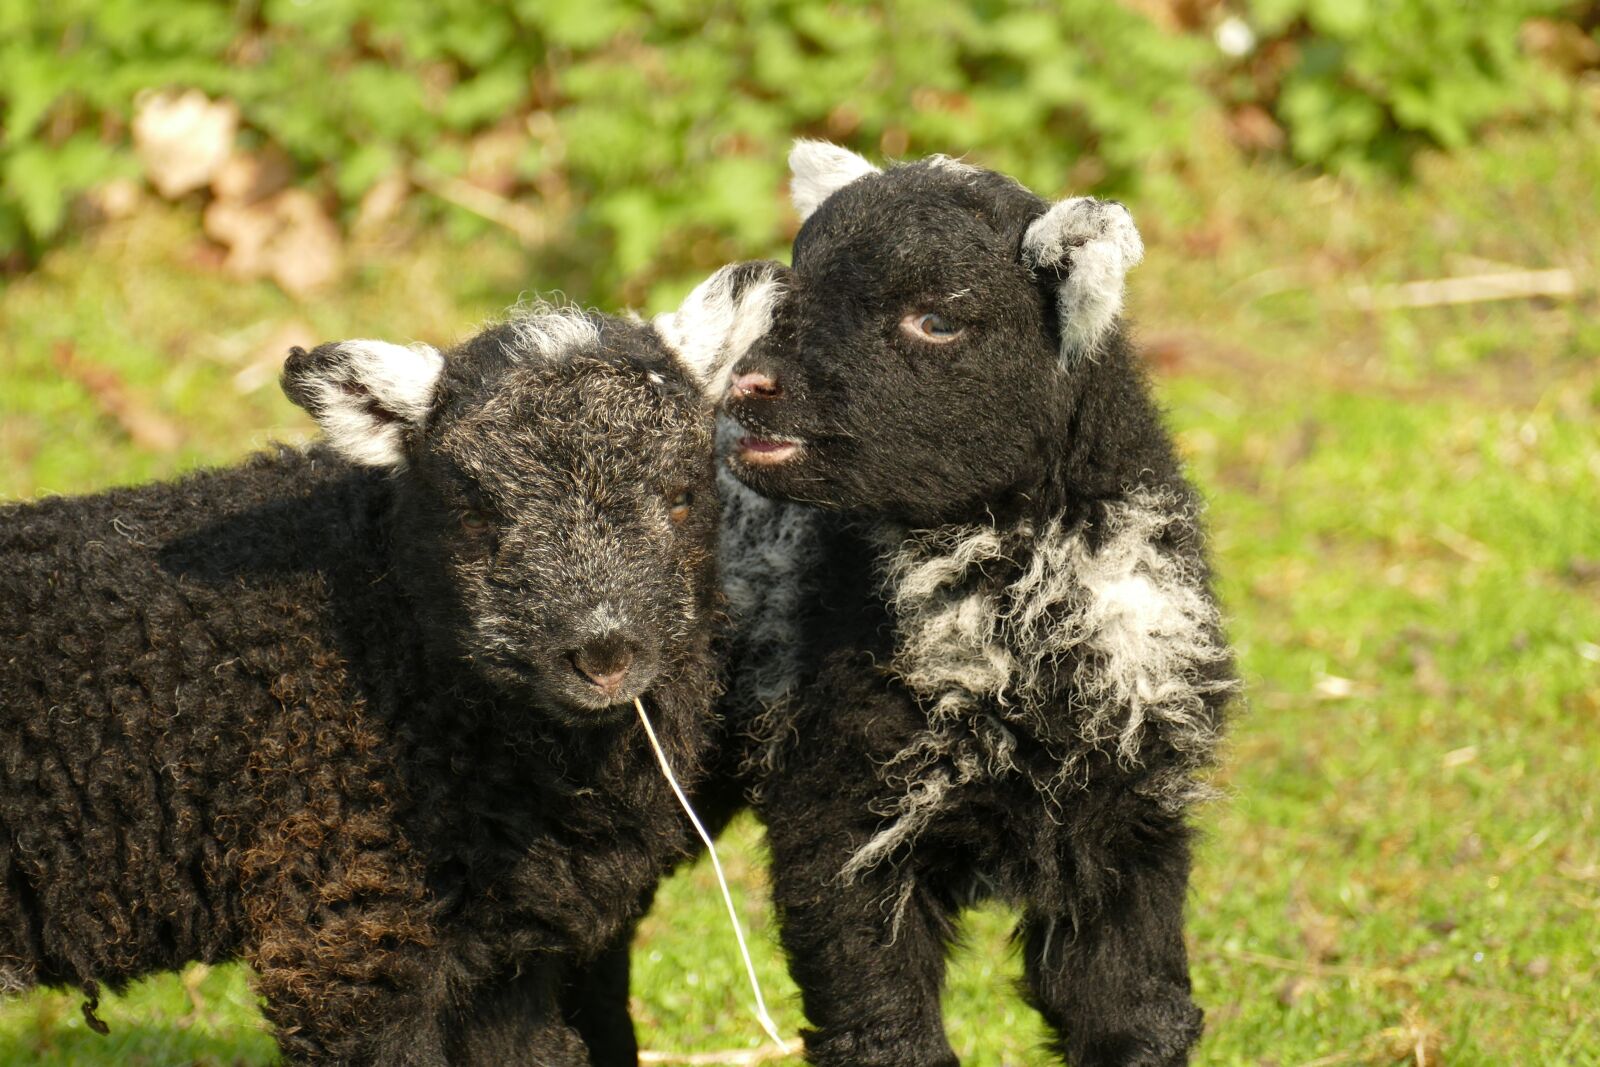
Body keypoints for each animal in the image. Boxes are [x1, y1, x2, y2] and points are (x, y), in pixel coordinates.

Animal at [706, 142, 1239, 1067]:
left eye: (938, 319)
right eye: (794, 282)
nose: (750, 383)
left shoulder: (1128, 816)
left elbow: (1135, 1010)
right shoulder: (839, 808)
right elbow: (883, 1027)